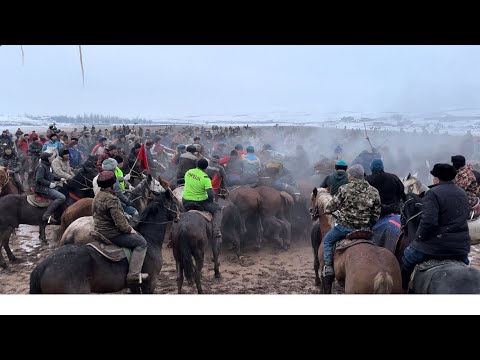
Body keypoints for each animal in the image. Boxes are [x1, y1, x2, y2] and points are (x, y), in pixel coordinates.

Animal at [28, 191, 178, 292]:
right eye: (176, 201)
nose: (179, 216)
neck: (150, 239)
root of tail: (43, 267)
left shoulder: (134, 286)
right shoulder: (150, 283)